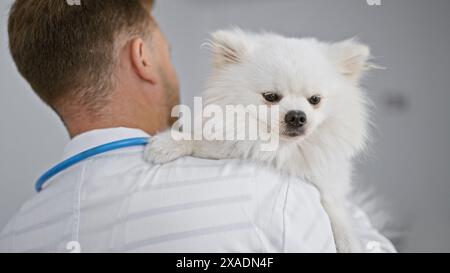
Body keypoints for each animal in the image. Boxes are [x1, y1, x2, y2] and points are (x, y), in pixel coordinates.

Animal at [146, 28, 374, 252]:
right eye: (271, 96)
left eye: (315, 100)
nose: (297, 116)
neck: (281, 148)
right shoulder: (228, 147)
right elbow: (198, 139)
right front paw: (167, 144)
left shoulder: (329, 186)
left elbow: (337, 214)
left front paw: (349, 242)